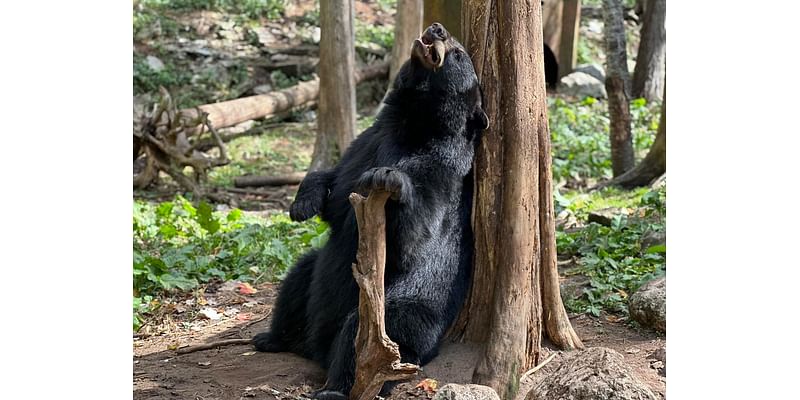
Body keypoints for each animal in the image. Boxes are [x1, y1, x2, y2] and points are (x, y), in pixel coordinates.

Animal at [253, 22, 488, 400]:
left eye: (458, 54)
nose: (437, 28)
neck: (414, 122)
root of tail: (318, 349)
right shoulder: (367, 141)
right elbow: (335, 186)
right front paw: (301, 204)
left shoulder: (443, 169)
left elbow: (416, 237)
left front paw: (388, 179)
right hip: (312, 272)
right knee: (295, 281)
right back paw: (272, 338)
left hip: (400, 311)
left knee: (362, 340)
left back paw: (334, 388)